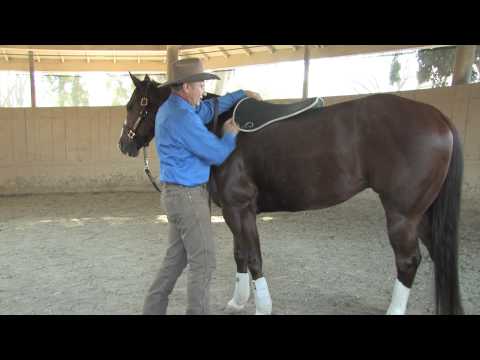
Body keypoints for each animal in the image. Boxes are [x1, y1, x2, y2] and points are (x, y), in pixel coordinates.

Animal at [118, 73, 464, 316]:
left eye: (135, 106)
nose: (125, 144)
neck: (213, 126)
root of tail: (438, 117)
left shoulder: (239, 208)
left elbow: (253, 257)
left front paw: (262, 306)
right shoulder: (232, 211)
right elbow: (240, 254)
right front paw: (237, 301)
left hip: (402, 214)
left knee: (408, 260)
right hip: (421, 214)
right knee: (439, 254)